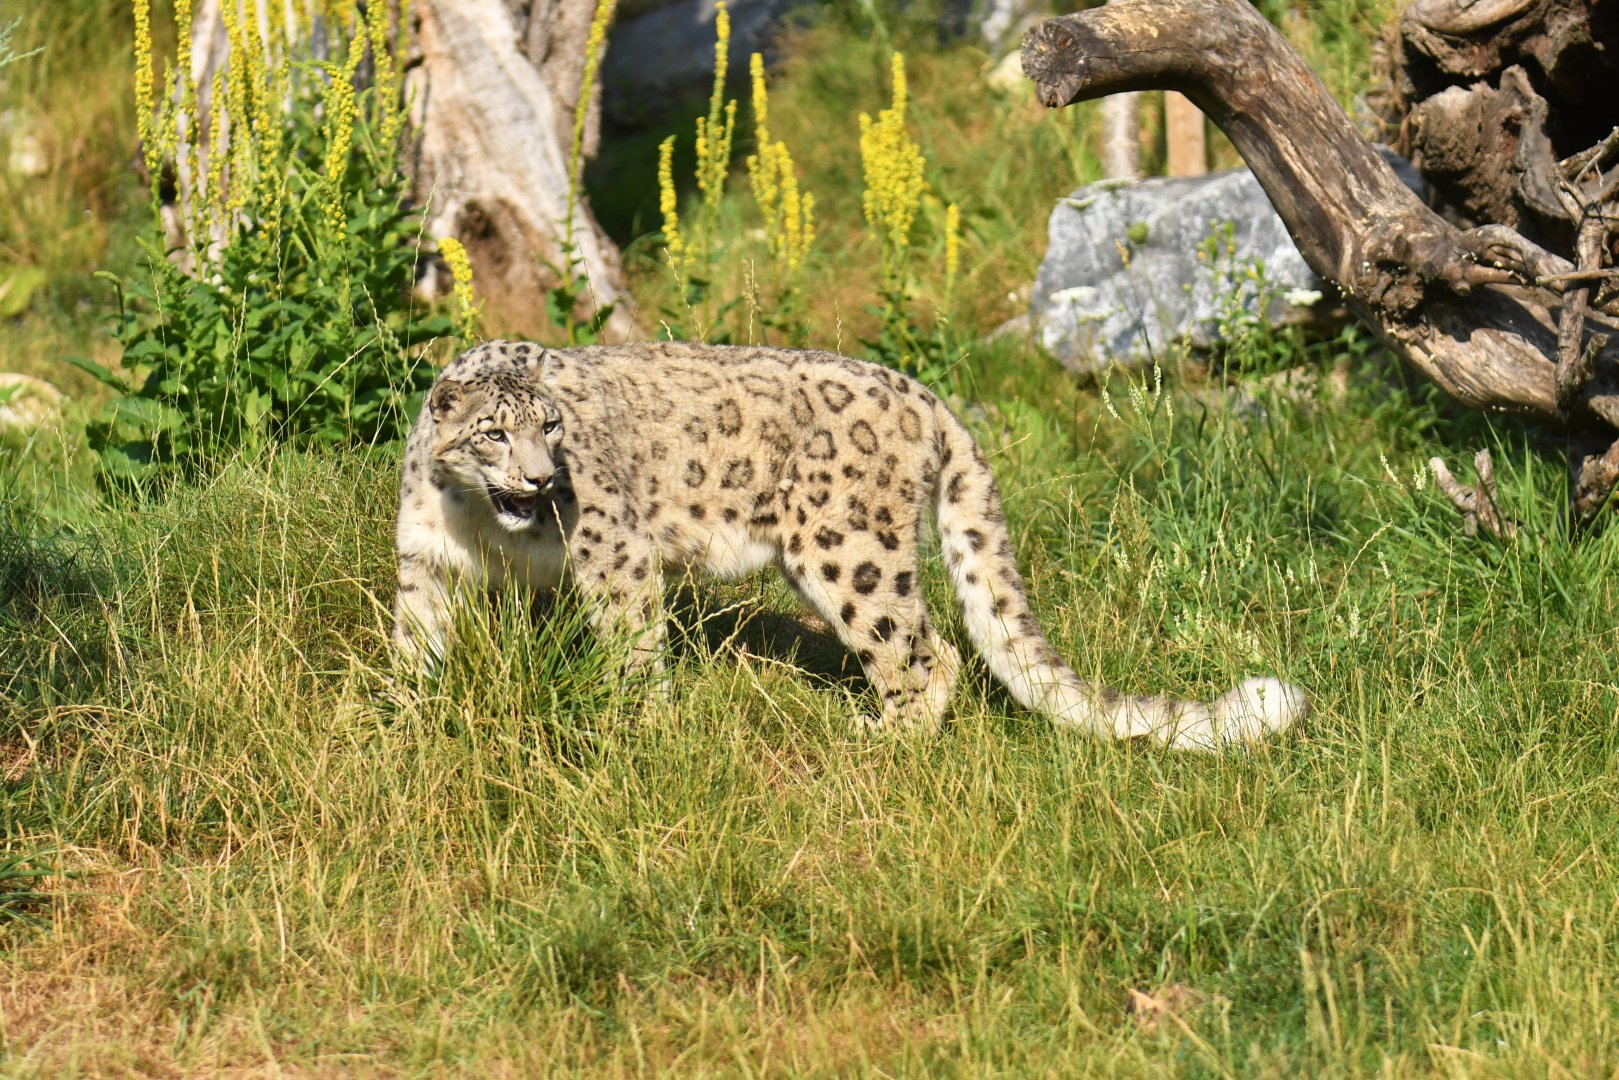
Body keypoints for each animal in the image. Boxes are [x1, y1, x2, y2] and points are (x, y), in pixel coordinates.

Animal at [392, 339, 1304, 749]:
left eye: (551, 427)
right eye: (494, 434)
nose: (544, 479)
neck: (486, 526)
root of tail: (924, 394)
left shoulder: (612, 551)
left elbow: (629, 643)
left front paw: (638, 728)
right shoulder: (424, 564)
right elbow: (412, 643)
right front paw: (398, 719)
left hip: (845, 547)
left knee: (920, 651)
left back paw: (882, 741)